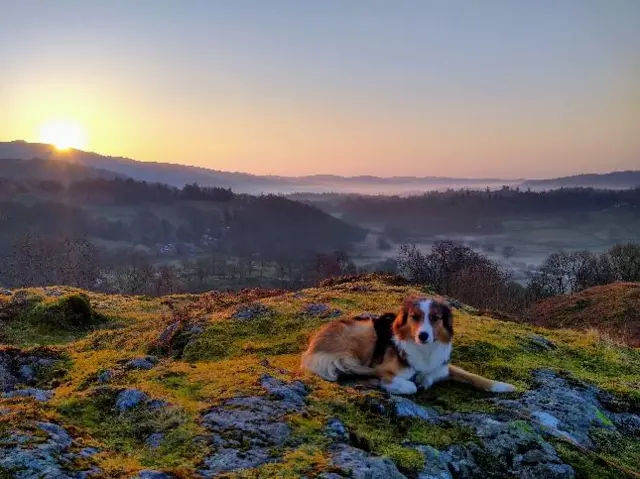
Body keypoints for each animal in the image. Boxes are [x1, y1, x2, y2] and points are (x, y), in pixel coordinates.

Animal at [300, 296, 516, 398]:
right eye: (415, 317)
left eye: (435, 318)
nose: (423, 335)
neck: (424, 351)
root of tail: (313, 345)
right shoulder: (385, 369)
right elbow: (411, 386)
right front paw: (398, 386)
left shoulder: (441, 365)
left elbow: (471, 375)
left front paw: (502, 386)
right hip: (364, 334)